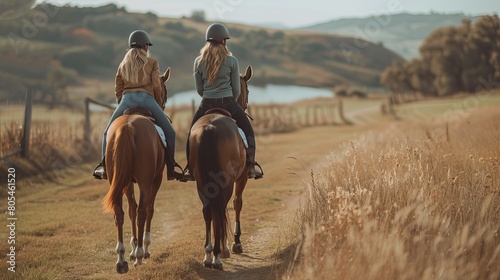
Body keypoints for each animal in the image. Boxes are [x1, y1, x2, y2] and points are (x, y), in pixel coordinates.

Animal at [101, 68, 172, 274]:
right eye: (165, 91)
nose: (163, 103)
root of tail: (127, 126)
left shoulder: (126, 182)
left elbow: (131, 209)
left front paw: (132, 249)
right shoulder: (155, 179)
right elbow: (148, 209)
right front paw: (142, 248)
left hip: (117, 181)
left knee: (120, 213)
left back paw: (121, 259)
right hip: (146, 182)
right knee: (142, 211)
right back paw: (140, 255)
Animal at [189, 65, 256, 270]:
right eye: (247, 90)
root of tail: (209, 127)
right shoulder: (241, 178)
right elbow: (237, 203)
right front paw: (235, 243)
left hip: (201, 181)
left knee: (208, 211)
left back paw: (208, 254)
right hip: (226, 180)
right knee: (219, 208)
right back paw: (218, 255)